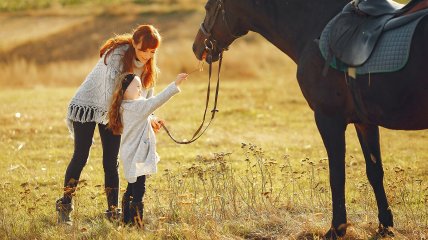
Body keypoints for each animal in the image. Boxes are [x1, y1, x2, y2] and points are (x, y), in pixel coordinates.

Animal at [193, 0, 428, 239]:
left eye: (208, 7)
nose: (197, 47)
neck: (315, 27)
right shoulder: (365, 122)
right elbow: (374, 172)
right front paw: (385, 226)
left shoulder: (329, 119)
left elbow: (337, 175)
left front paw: (336, 229)